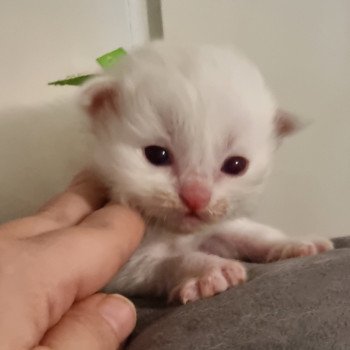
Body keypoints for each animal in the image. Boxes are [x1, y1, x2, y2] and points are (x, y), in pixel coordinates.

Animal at [79, 41, 334, 304]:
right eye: (157, 155)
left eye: (236, 165)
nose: (196, 198)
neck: (178, 232)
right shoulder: (122, 268)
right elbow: (168, 262)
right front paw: (210, 270)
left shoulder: (218, 226)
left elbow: (252, 233)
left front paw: (294, 241)